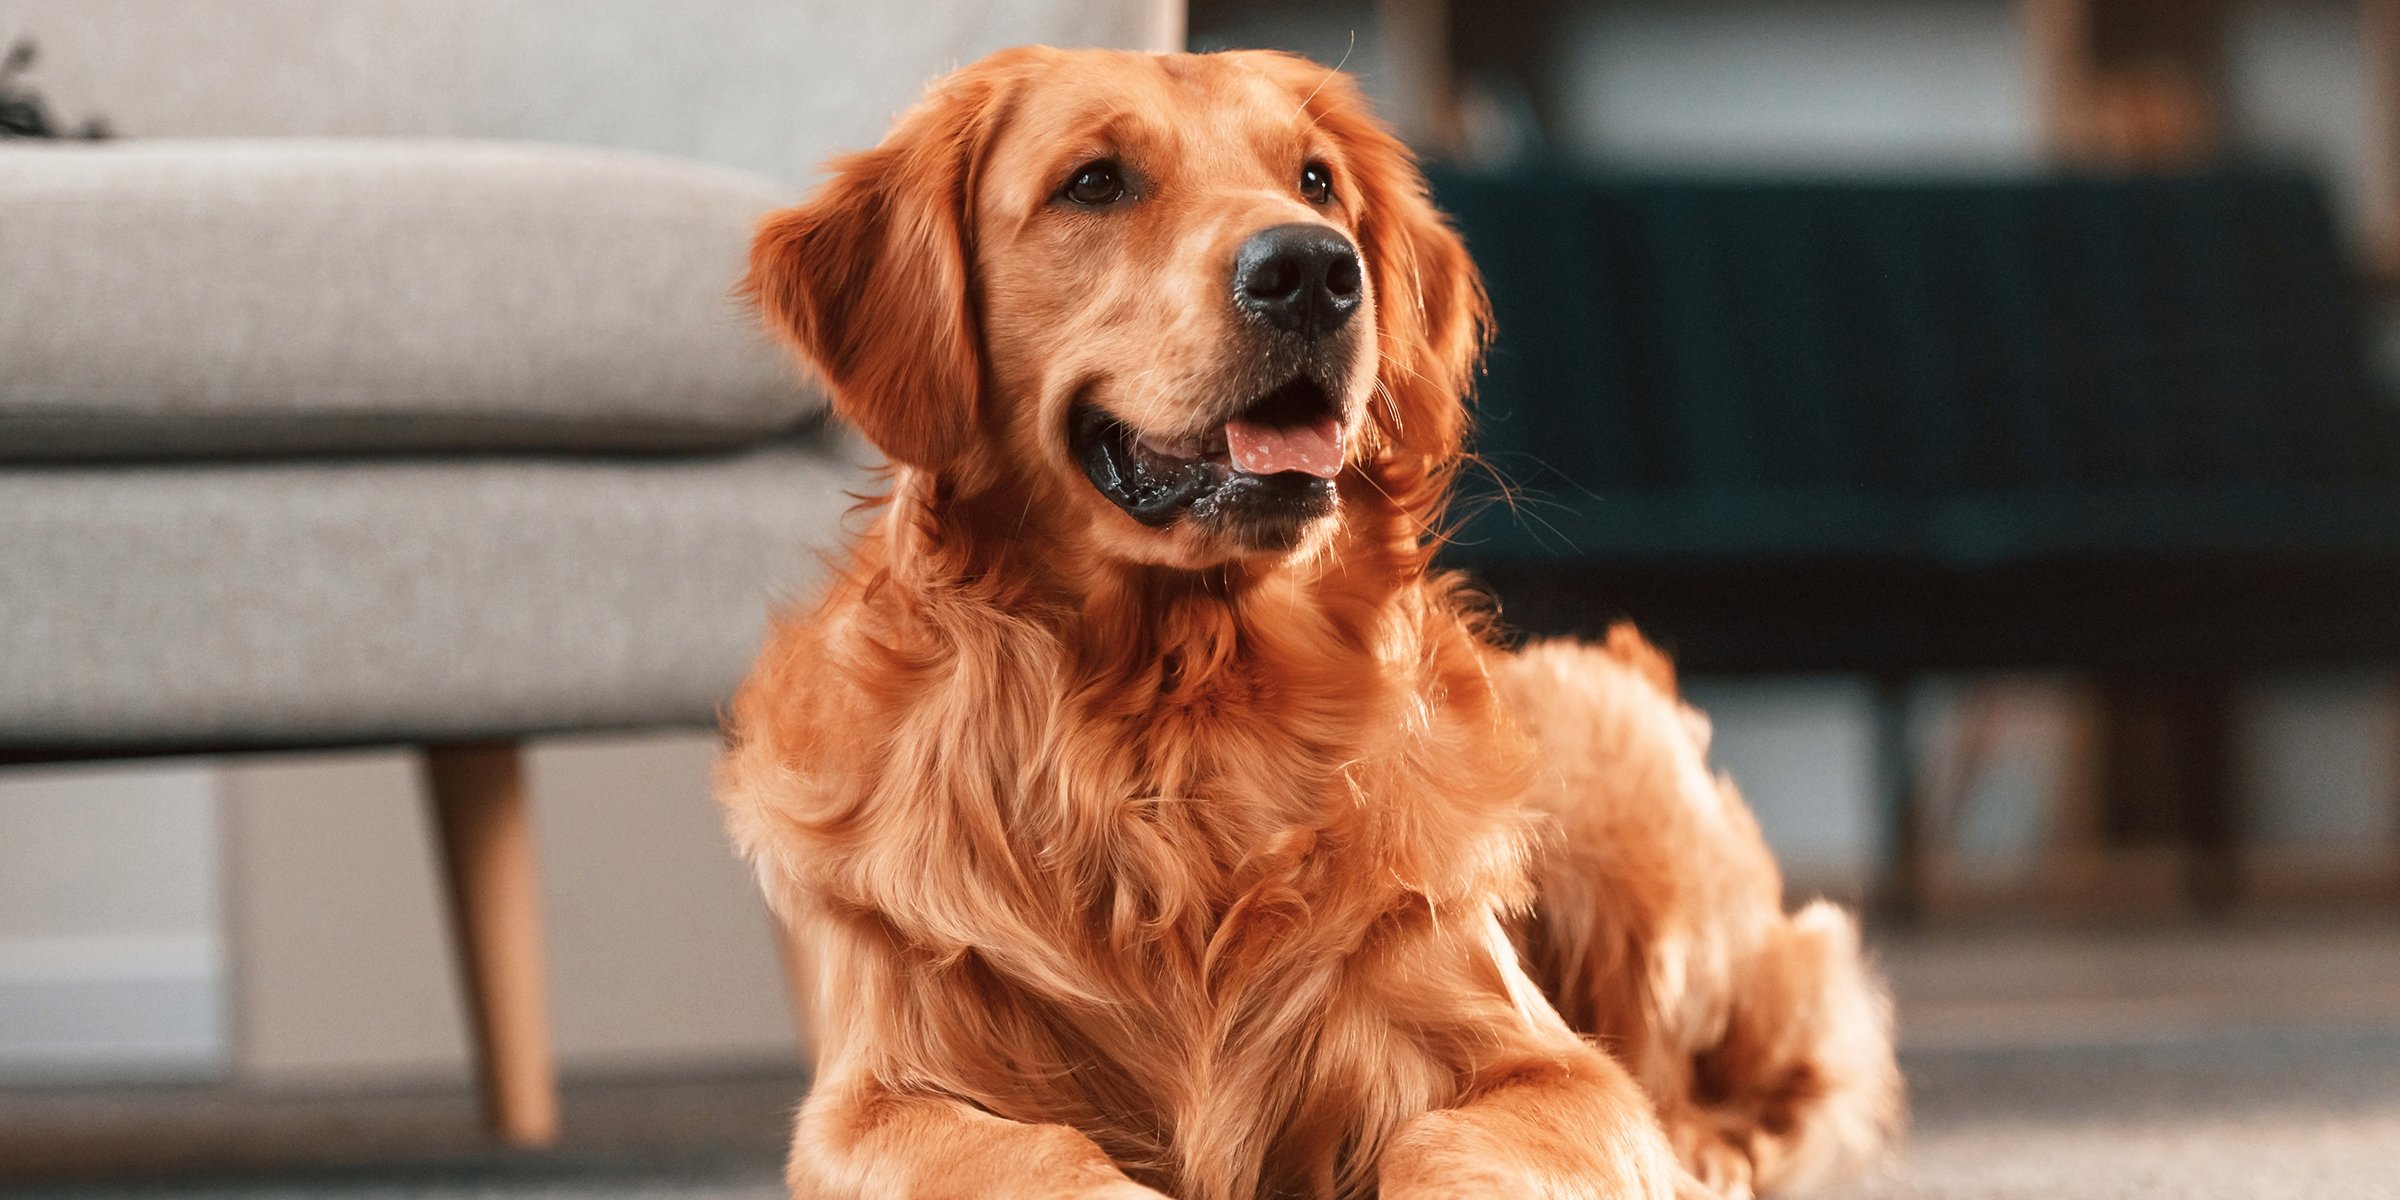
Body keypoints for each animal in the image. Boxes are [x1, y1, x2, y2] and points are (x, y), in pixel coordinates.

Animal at [710, 42, 1891, 1195]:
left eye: (1315, 180)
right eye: (1093, 182)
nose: (1313, 271)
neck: (1175, 710)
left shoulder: (1547, 1066)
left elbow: (1461, 1140)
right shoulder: (881, 1097)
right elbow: (1036, 1157)